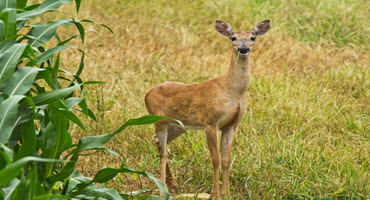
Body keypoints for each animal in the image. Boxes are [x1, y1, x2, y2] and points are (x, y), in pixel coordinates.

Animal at [145, 19, 272, 198]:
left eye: (252, 37)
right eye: (233, 37)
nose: (243, 49)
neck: (233, 91)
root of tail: (147, 94)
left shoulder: (231, 125)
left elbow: (226, 159)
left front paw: (226, 193)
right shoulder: (210, 122)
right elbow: (215, 158)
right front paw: (214, 193)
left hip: (178, 125)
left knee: (157, 142)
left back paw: (173, 184)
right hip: (159, 120)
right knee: (163, 152)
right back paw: (164, 190)